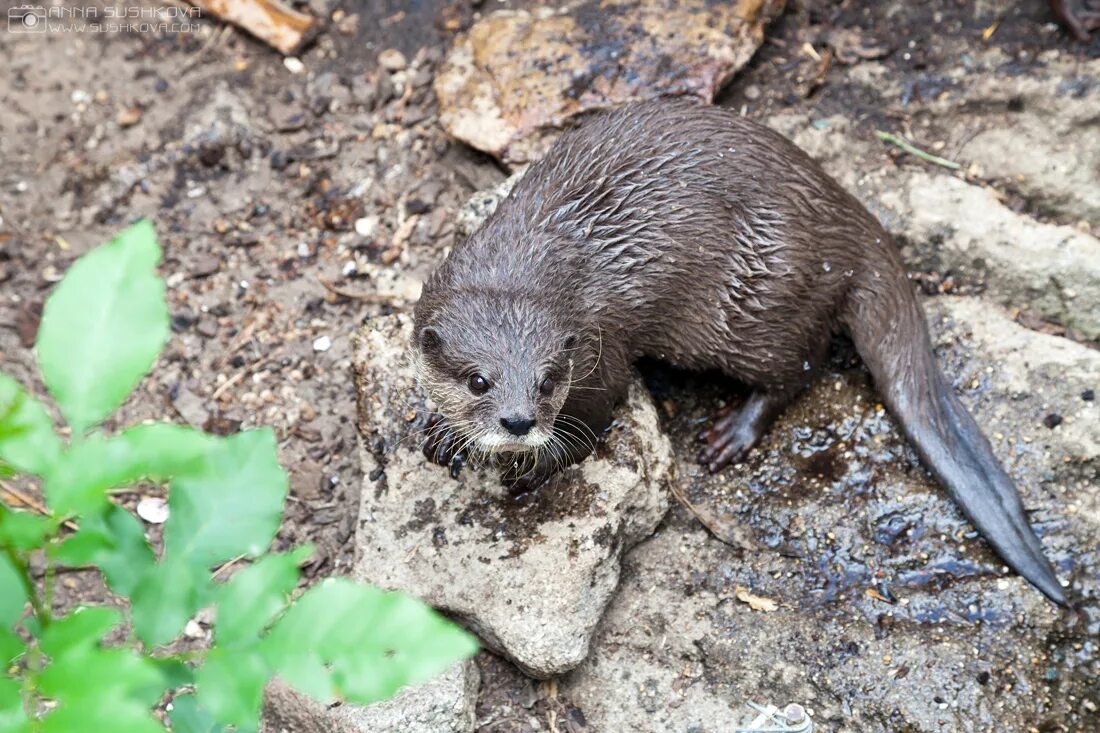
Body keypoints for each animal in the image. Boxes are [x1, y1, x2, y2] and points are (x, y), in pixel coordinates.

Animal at [411, 96, 1064, 603]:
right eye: (477, 380)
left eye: (548, 380)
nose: (519, 422)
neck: (524, 264)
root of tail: (844, 218)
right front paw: (441, 432)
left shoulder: (599, 349)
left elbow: (593, 422)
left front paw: (530, 472)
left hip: (753, 304)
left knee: (799, 367)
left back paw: (732, 434)